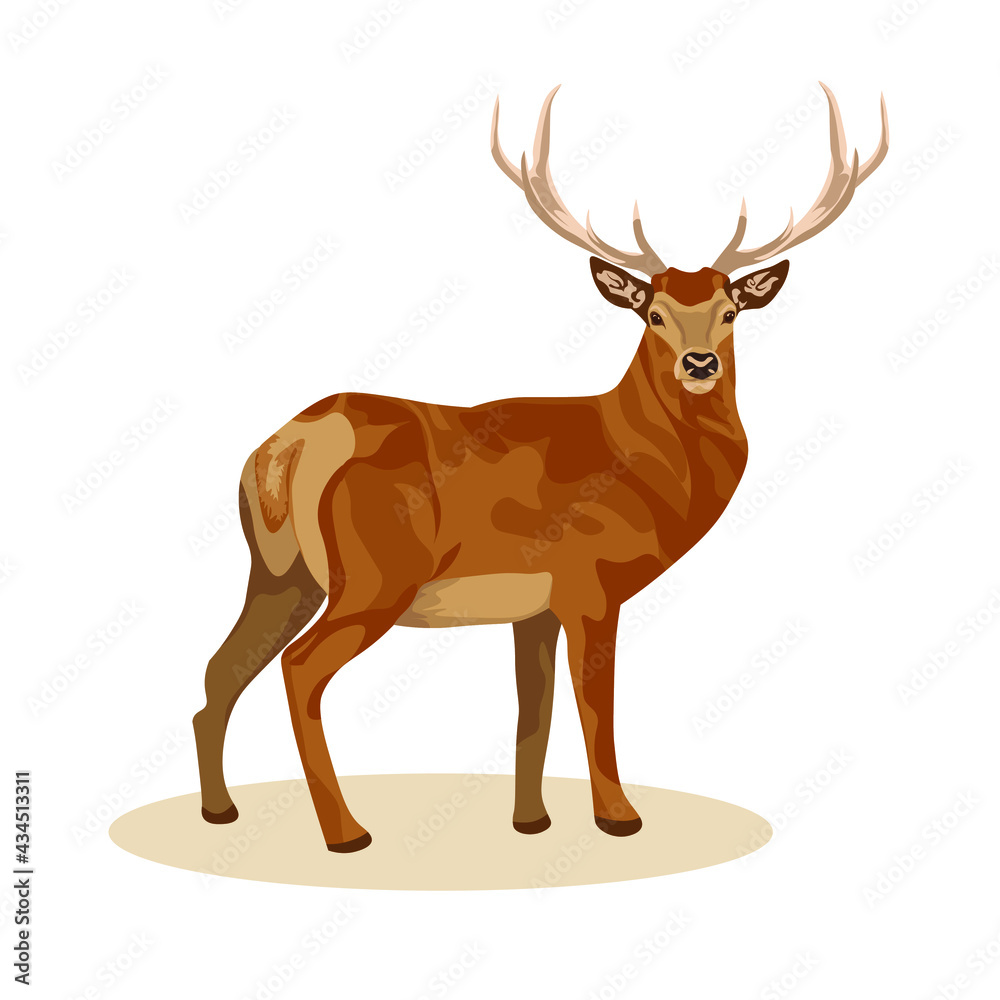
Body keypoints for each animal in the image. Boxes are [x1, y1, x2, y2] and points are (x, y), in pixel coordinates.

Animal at [193, 83, 888, 853]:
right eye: (652, 313)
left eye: (731, 309)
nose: (700, 363)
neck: (636, 463)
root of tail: (289, 447)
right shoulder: (592, 583)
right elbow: (594, 708)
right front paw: (619, 818)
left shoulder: (535, 607)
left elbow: (536, 711)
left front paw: (532, 822)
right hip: (374, 576)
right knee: (298, 669)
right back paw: (345, 832)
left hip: (278, 572)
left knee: (219, 670)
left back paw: (220, 810)